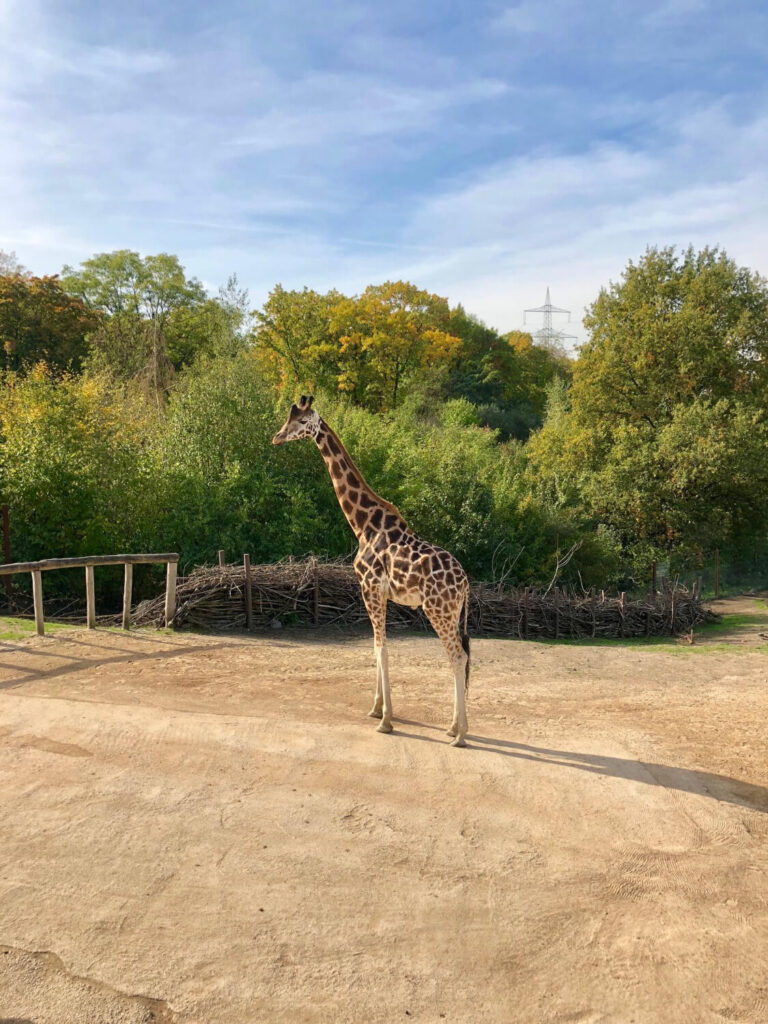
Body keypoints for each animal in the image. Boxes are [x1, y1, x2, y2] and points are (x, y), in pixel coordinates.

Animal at [273, 395, 471, 746]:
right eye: (288, 417)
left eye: (301, 421)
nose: (276, 437)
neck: (362, 524)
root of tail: (466, 584)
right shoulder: (378, 592)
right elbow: (376, 647)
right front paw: (376, 709)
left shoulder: (370, 587)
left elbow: (381, 649)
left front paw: (387, 720)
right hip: (451, 612)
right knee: (459, 657)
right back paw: (453, 727)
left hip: (438, 610)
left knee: (458, 657)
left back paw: (459, 735)